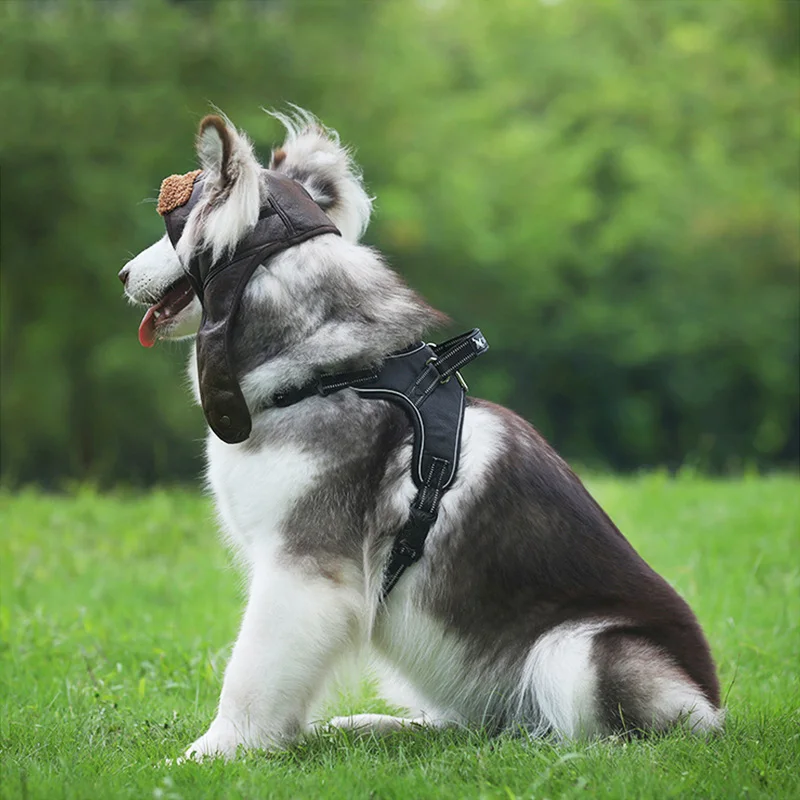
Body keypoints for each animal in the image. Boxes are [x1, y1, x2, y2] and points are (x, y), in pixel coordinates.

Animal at [120, 111, 724, 756]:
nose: (123, 274)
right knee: (471, 725)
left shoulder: (304, 570)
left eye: (173, 233)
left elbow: (249, 675)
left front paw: (213, 753)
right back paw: (372, 725)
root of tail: (713, 706)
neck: (332, 374)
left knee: (587, 733)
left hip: (579, 650)